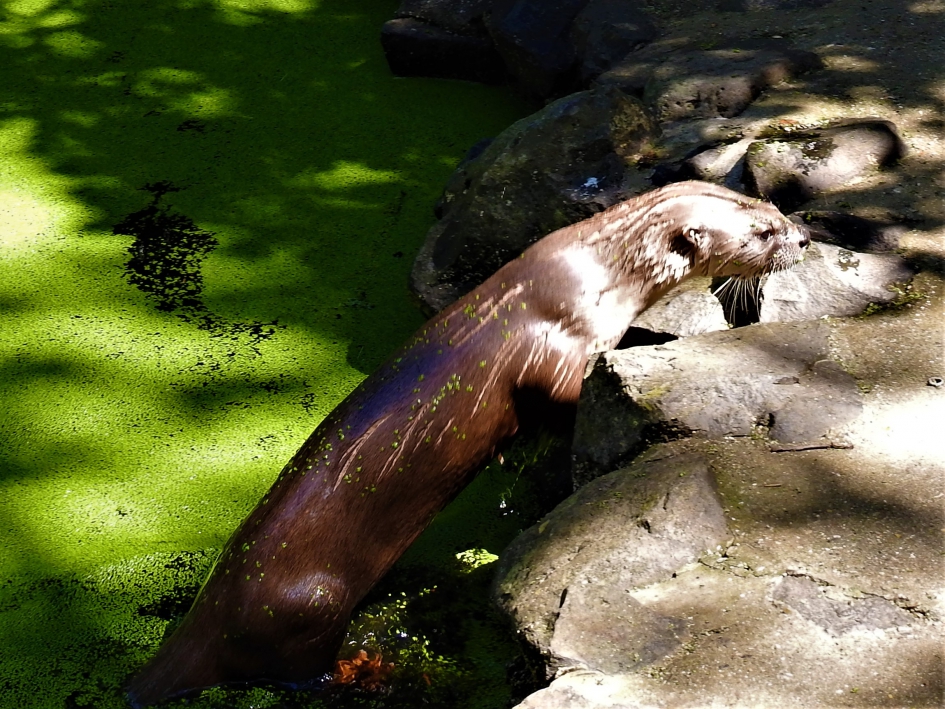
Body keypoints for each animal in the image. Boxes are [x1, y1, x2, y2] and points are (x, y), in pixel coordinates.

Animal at [126, 181, 809, 706]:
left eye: (774, 206)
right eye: (760, 234)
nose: (803, 238)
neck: (595, 272)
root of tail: (198, 631)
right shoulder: (559, 342)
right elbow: (566, 391)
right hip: (304, 613)